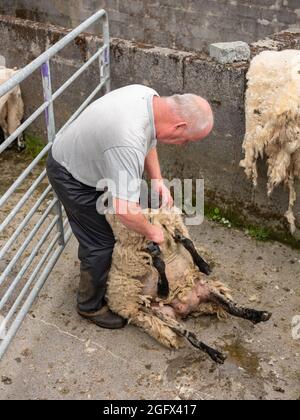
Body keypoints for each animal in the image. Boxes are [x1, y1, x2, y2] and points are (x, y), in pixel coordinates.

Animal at [105, 209, 272, 364]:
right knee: (190, 334)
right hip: (163, 313)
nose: (151, 247)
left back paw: (259, 315)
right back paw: (216, 354)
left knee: (231, 307)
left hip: (205, 288)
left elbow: (188, 243)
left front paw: (200, 261)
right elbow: (160, 266)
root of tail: (188, 308)